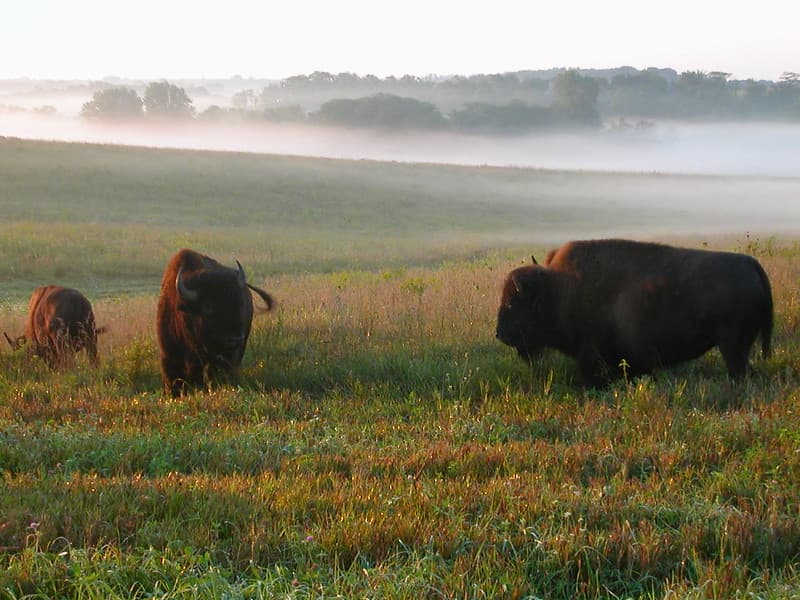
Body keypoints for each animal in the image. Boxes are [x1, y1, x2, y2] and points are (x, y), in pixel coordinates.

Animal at [496, 239, 773, 386]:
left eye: (511, 303)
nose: (499, 334)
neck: (556, 289)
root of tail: (752, 265)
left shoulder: (591, 356)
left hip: (731, 347)